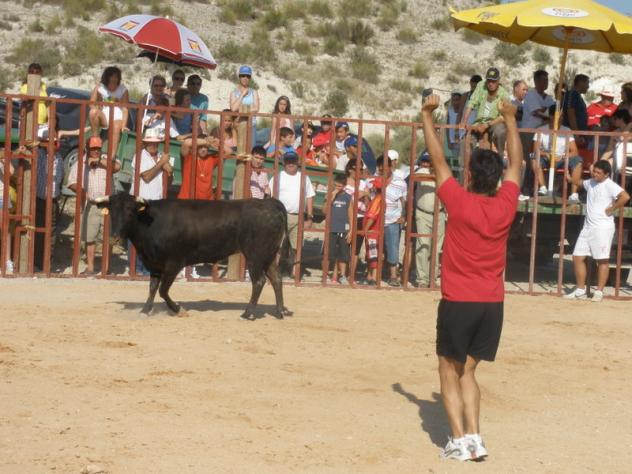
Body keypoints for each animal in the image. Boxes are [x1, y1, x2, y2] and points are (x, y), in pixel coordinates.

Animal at [95, 193, 293, 320]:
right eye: (111, 212)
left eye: (130, 211)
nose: (114, 238)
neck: (150, 221)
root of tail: (269, 203)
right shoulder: (154, 264)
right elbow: (152, 288)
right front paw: (145, 310)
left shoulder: (173, 264)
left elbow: (162, 290)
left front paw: (178, 309)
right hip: (268, 255)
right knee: (276, 279)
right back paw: (280, 312)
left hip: (255, 256)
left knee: (259, 281)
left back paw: (248, 313)